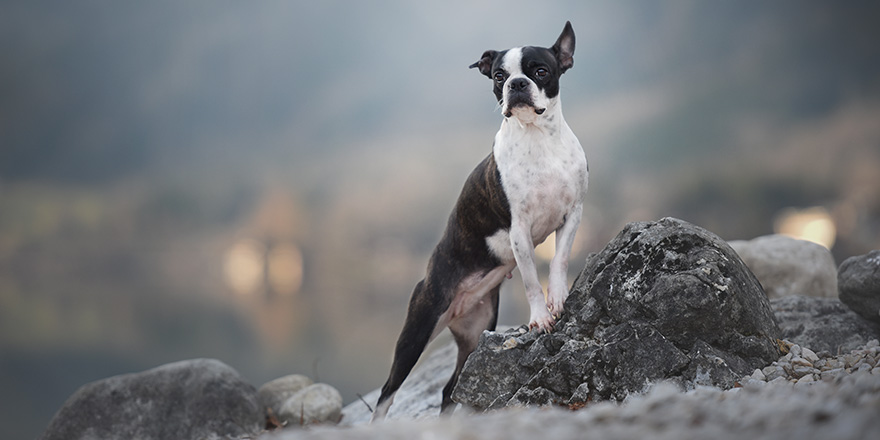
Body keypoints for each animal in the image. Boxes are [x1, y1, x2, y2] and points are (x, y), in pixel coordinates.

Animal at [370, 22, 584, 422]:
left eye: (540, 71)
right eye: (499, 76)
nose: (516, 84)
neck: (538, 140)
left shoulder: (572, 215)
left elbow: (560, 261)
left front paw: (559, 297)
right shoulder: (518, 231)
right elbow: (531, 280)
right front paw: (539, 316)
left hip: (476, 332)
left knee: (449, 390)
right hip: (416, 332)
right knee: (387, 393)